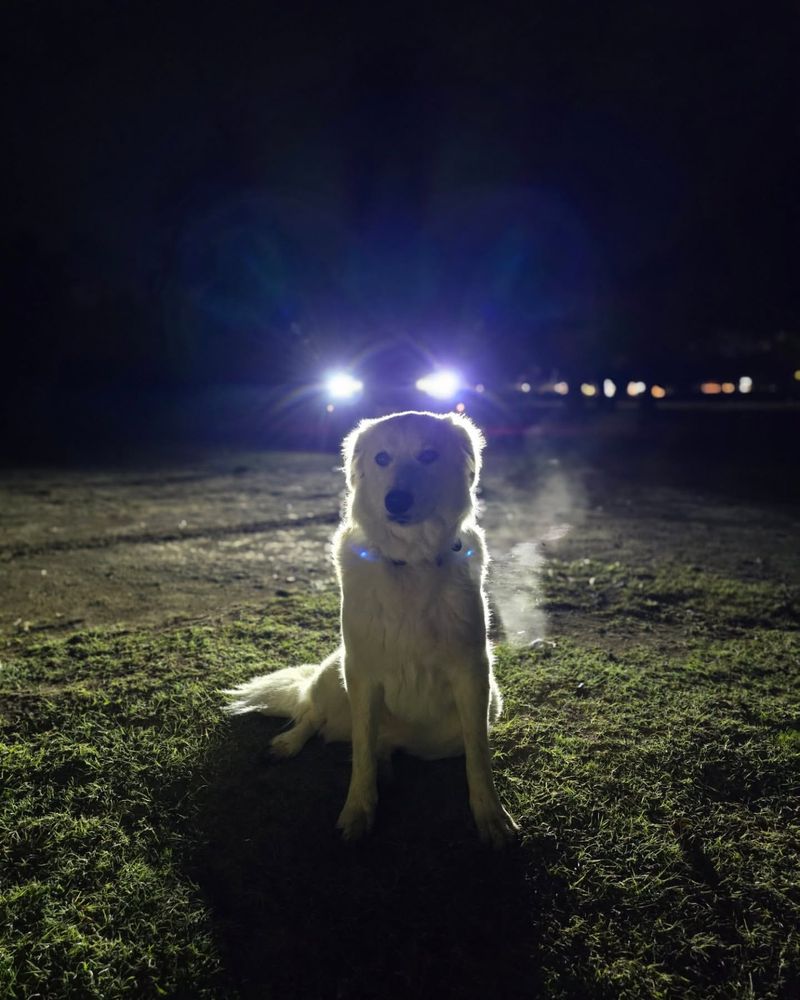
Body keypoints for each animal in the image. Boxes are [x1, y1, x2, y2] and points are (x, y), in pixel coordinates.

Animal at [222, 410, 520, 848]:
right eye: (382, 458)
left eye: (428, 455)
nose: (396, 499)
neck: (411, 562)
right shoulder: (361, 673)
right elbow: (360, 755)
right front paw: (358, 811)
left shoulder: (473, 675)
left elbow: (477, 756)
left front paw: (490, 816)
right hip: (334, 671)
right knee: (314, 714)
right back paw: (288, 744)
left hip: (478, 711)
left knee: (377, 743)